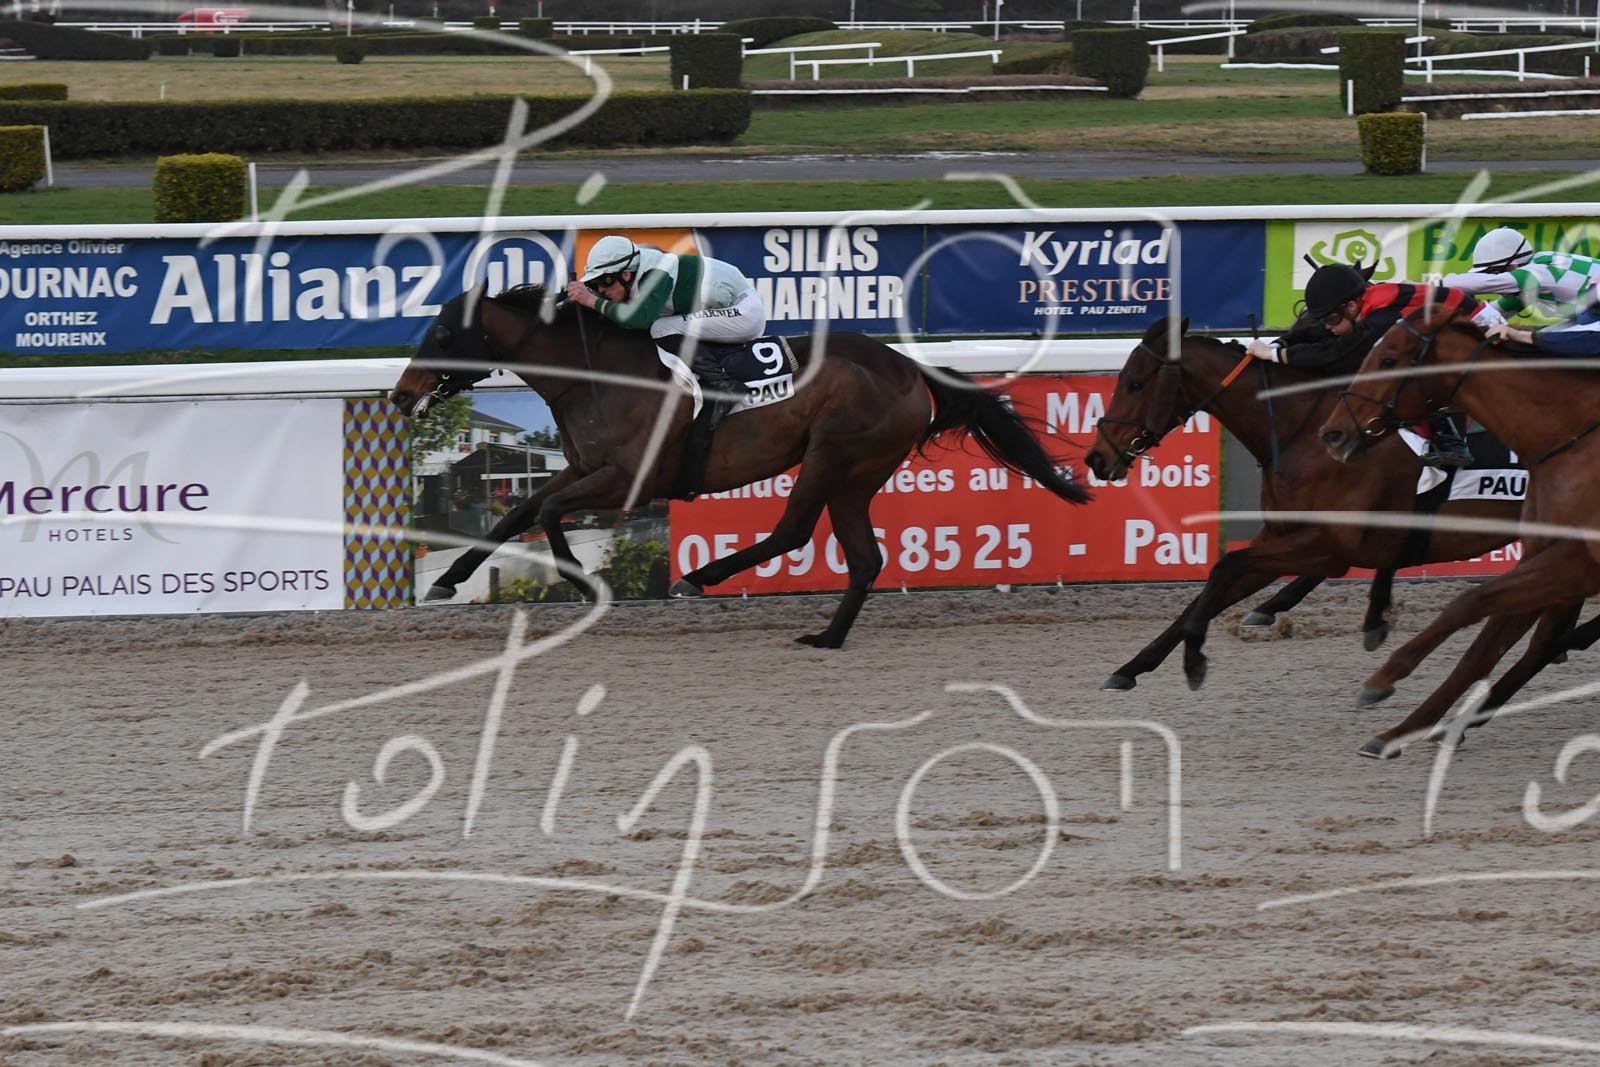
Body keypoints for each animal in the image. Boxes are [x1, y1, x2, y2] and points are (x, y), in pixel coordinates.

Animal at [389, 284, 1090, 648]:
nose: (399, 394)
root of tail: (910, 369)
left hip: (835, 452)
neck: (597, 374)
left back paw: (698, 578)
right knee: (863, 557)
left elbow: (554, 512)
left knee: (794, 531)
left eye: (443, 335)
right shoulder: (582, 467)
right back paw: (827, 637)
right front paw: (446, 580)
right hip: (856, 473)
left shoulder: (630, 479)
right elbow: (521, 511)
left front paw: (587, 586)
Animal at [1082, 317, 1521, 693]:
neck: (1301, 432)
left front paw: (1194, 660)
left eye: (1135, 383)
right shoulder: (1283, 535)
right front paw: (1131, 668)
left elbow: (1226, 568)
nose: (1097, 458)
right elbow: (1213, 588)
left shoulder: (1328, 544)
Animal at [1319, 306, 1600, 757]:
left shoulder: (1578, 563)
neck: (1572, 437)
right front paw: (1402, 730)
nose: (1333, 434)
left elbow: (1468, 603)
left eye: (1388, 360)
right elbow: (1482, 648)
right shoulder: (1546, 555)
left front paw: (1385, 679)